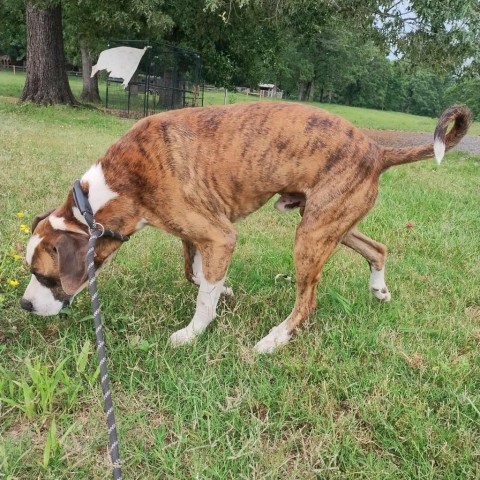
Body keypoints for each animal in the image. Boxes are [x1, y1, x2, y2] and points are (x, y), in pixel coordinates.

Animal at [20, 101, 470, 352]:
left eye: (46, 277)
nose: (24, 305)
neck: (110, 191)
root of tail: (376, 150)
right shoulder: (194, 235)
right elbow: (196, 275)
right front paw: (221, 289)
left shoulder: (219, 235)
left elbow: (201, 298)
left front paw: (192, 334)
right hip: (331, 224)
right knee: (378, 248)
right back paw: (378, 289)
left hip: (311, 237)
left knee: (307, 301)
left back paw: (275, 340)